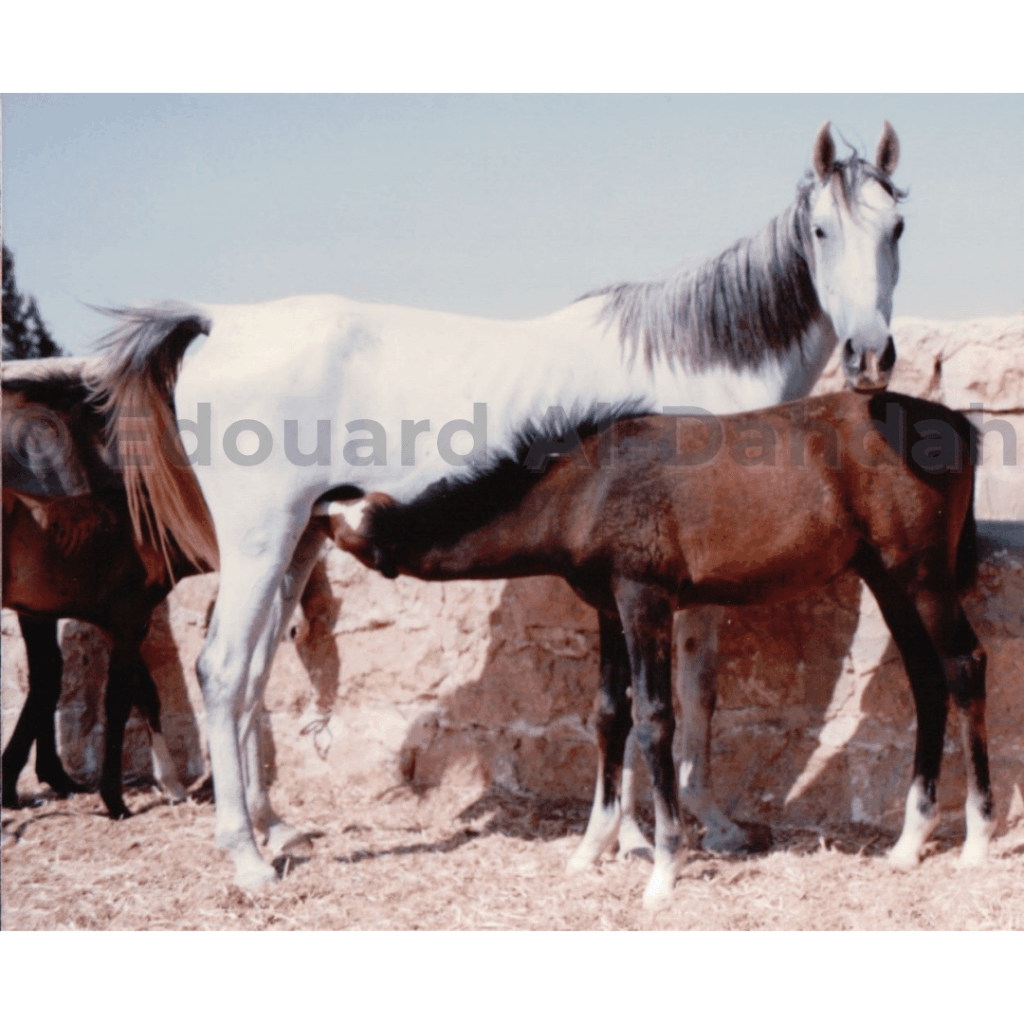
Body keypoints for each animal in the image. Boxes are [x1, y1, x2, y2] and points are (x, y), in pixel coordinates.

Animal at [2, 357, 202, 817]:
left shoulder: (113, 619)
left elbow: (141, 693)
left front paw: (171, 784)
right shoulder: (115, 617)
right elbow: (104, 694)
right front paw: (112, 798)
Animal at [90, 121, 907, 886]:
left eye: (897, 225)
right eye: (821, 230)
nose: (869, 356)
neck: (697, 367)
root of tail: (219, 321)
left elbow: (686, 696)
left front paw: (675, 830)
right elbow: (671, 701)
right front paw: (649, 838)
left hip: (299, 542)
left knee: (254, 677)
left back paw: (277, 830)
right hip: (260, 541)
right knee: (223, 669)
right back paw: (246, 858)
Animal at [314, 391, 994, 906]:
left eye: (348, 535)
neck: (587, 487)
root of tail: (955, 423)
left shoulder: (645, 599)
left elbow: (655, 719)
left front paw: (665, 869)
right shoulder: (609, 610)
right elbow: (609, 717)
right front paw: (590, 850)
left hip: (922, 578)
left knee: (964, 667)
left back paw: (978, 841)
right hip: (888, 579)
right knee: (927, 681)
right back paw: (908, 844)